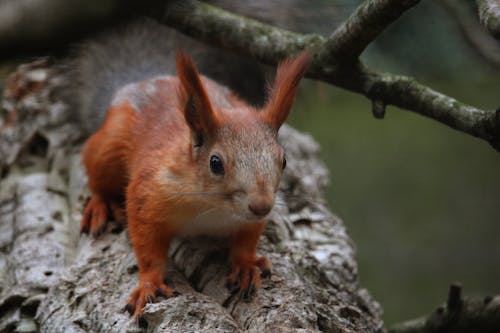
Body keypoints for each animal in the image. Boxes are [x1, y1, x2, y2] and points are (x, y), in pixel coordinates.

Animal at [80, 48, 310, 316]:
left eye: (283, 161)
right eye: (215, 163)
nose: (261, 206)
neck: (214, 207)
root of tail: (140, 83)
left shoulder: (250, 219)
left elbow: (247, 240)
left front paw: (245, 265)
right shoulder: (149, 193)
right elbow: (147, 247)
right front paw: (149, 283)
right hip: (108, 150)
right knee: (98, 175)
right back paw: (101, 205)